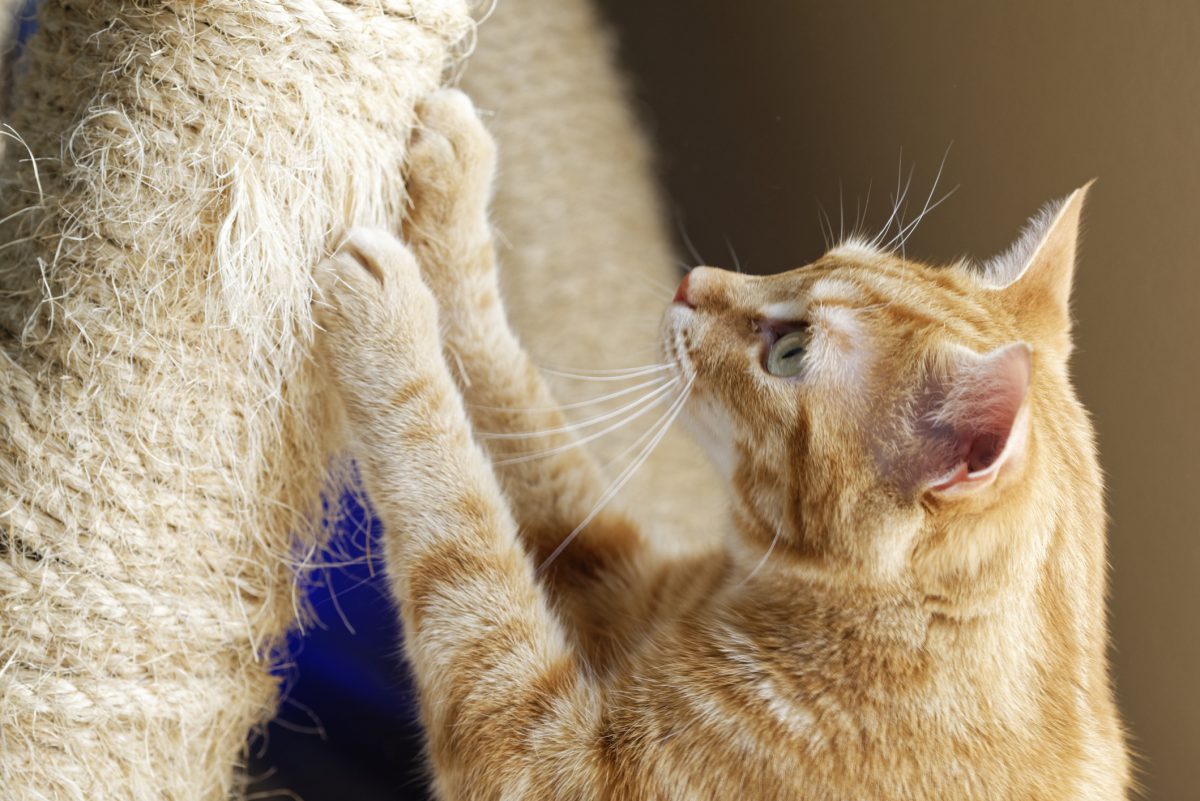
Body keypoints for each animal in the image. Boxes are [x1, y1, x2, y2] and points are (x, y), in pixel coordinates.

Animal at [316, 90, 1123, 796]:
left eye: (790, 354)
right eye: (819, 255)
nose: (691, 279)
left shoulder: (541, 761)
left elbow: (457, 515)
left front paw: (391, 322)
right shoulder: (614, 575)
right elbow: (511, 397)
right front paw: (454, 183)